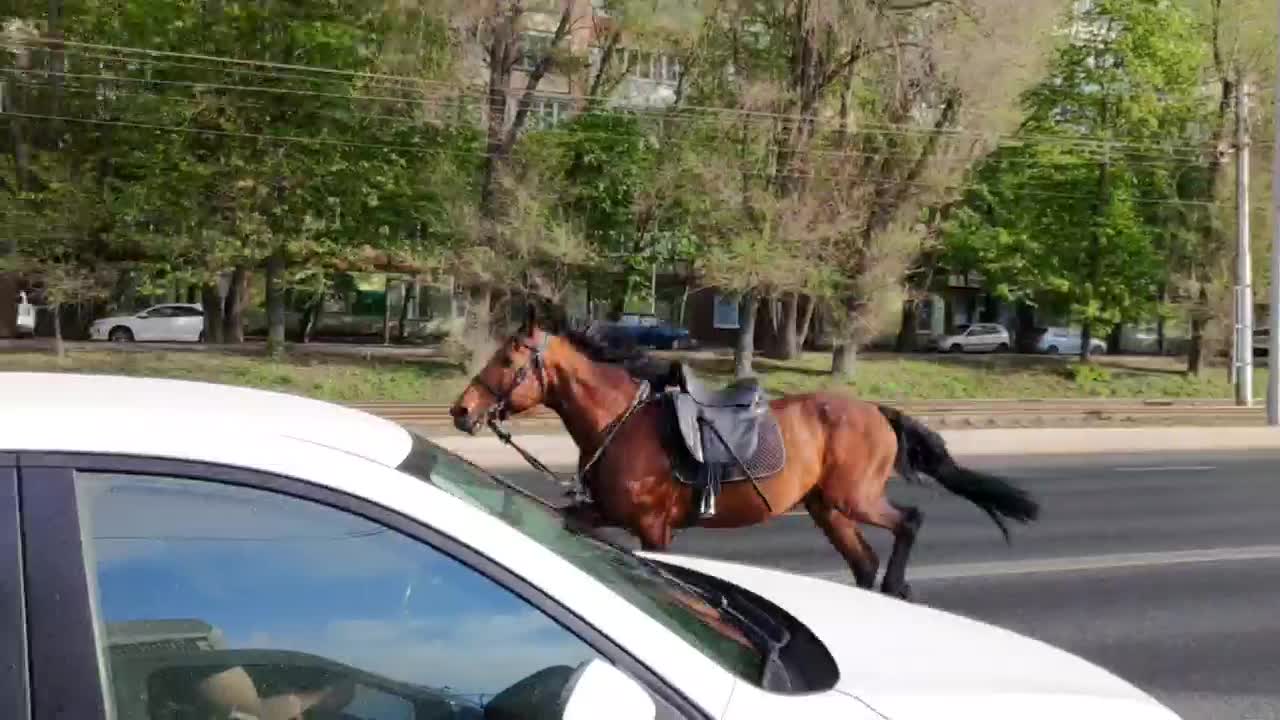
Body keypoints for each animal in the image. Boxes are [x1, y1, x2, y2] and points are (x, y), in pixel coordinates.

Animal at [450, 299, 1039, 597]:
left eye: (507, 357)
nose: (460, 409)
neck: (623, 422)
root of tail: (877, 412)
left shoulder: (653, 528)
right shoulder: (603, 512)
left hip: (854, 498)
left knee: (909, 523)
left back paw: (898, 586)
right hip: (828, 509)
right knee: (863, 562)